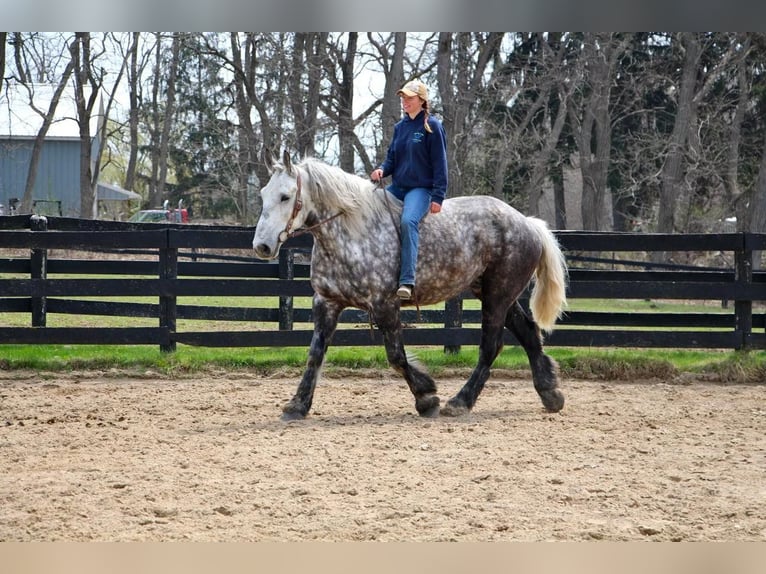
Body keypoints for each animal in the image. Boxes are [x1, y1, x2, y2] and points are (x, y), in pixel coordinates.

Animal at [254, 153, 568, 424]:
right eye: (263, 194)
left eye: (285, 196)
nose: (262, 246)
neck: (352, 234)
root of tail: (527, 223)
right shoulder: (327, 303)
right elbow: (314, 355)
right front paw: (297, 405)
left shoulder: (385, 305)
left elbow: (396, 356)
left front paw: (427, 397)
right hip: (496, 294)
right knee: (528, 333)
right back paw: (550, 392)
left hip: (498, 296)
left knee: (491, 347)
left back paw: (460, 401)